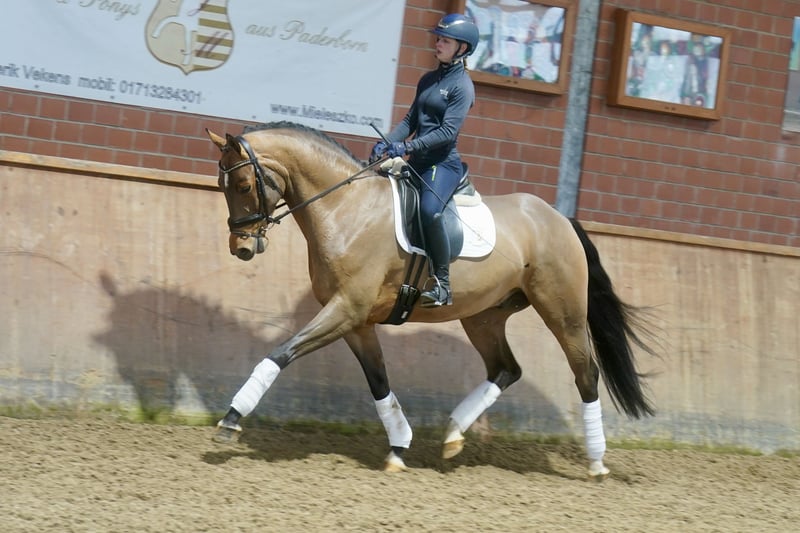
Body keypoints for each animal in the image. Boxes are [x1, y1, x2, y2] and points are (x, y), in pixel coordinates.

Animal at [206, 121, 656, 480]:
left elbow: (281, 352)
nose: (241, 248)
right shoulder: (355, 320)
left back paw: (596, 462)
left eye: (244, 185)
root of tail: (559, 218)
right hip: (484, 316)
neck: (345, 208)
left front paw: (231, 419)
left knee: (585, 374)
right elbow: (378, 380)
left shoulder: (346, 309)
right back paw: (453, 434)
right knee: (505, 369)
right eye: (222, 187)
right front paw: (399, 446)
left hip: (563, 313)